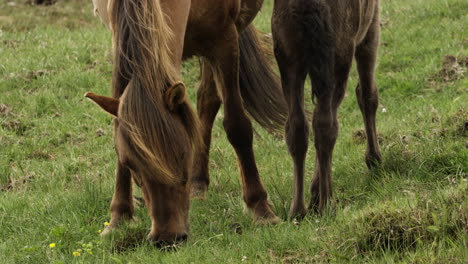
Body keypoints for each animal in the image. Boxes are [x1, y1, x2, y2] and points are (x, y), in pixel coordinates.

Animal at [85, 0, 288, 245]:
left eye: (183, 155)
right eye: (131, 164)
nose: (166, 237)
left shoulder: (224, 40)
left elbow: (237, 127)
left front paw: (260, 209)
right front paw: (118, 218)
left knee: (209, 101)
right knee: (206, 101)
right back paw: (198, 184)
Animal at [272, 0, 382, 219]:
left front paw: (314, 192)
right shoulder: (371, 26)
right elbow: (367, 94)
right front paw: (373, 158)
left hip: (287, 56)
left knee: (297, 126)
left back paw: (298, 209)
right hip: (338, 55)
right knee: (326, 125)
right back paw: (327, 203)